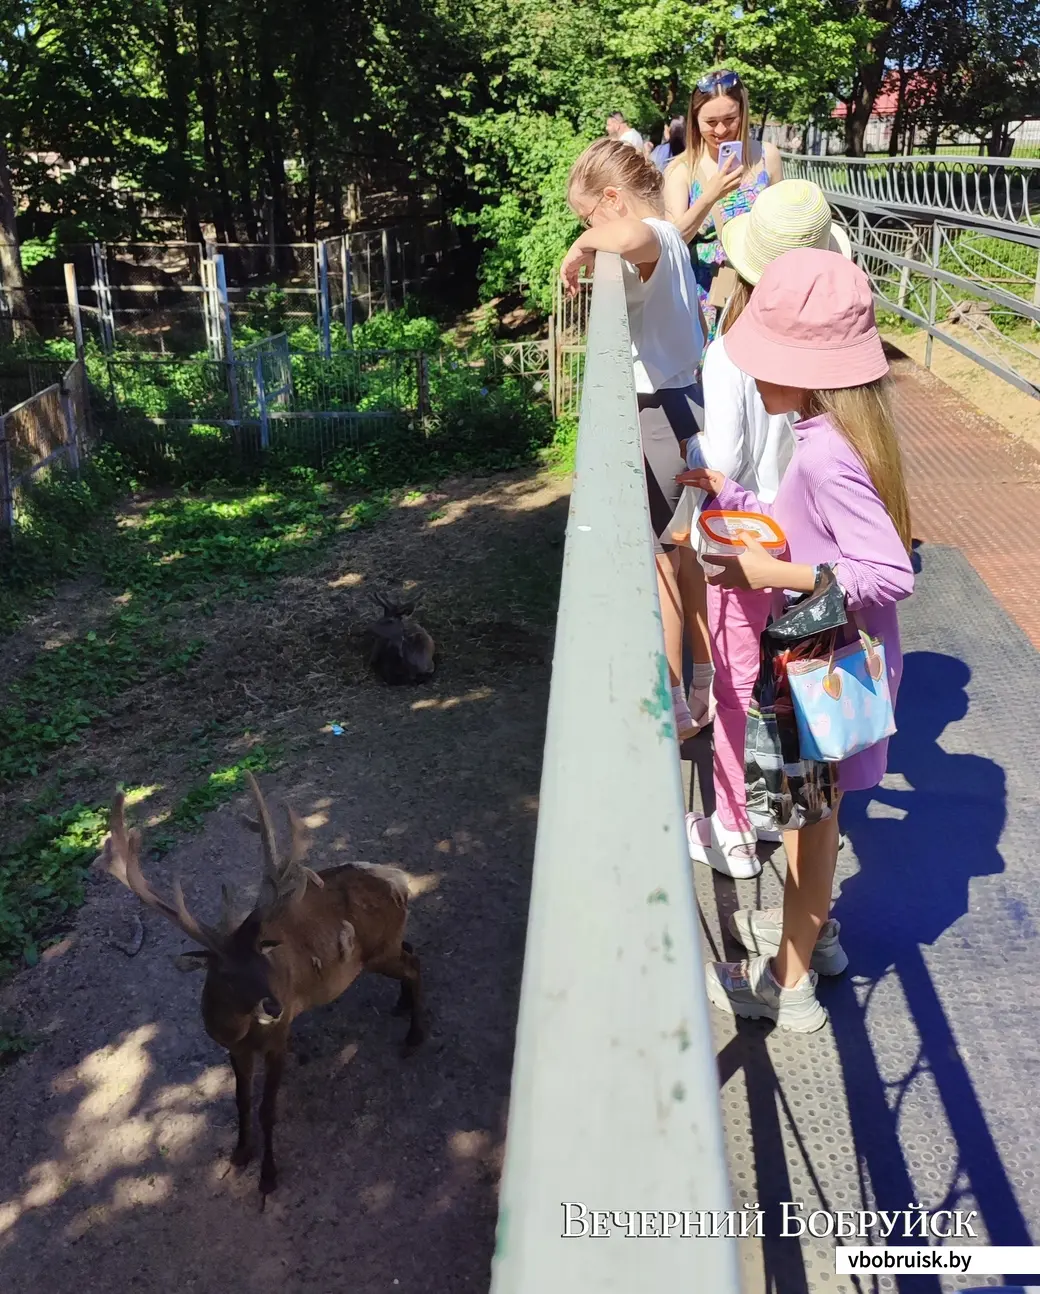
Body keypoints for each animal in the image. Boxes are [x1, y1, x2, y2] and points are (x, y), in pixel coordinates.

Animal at [97, 771, 421, 1195]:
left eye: (262, 956)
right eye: (226, 973)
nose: (274, 1006)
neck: (238, 1029)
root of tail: (400, 881)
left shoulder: (279, 1039)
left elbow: (268, 1109)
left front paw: (268, 1176)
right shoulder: (234, 1049)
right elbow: (241, 1100)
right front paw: (239, 1154)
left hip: (380, 950)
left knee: (415, 964)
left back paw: (414, 1037)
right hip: (388, 946)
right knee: (412, 950)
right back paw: (402, 1006)